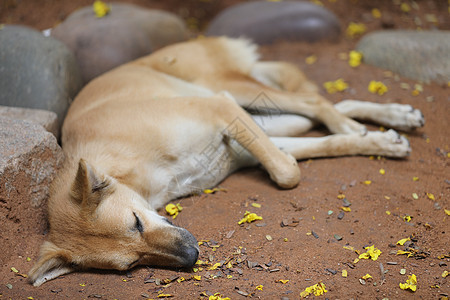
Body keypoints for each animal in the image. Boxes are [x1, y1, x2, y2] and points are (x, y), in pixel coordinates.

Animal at [27, 36, 422, 284]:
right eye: (132, 263)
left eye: (136, 223)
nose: (191, 256)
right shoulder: (242, 145)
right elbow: (311, 152)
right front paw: (380, 143)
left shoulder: (220, 107)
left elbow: (286, 173)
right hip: (263, 110)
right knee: (323, 112)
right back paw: (391, 123)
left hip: (235, 90)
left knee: (316, 104)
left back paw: (360, 124)